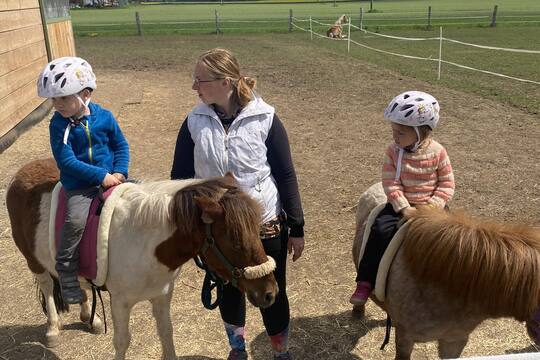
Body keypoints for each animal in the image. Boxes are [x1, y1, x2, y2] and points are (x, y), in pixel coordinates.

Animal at [6, 159, 278, 360]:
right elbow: (122, 341)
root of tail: (24, 170)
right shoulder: (120, 302)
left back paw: (89, 317)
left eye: (258, 231)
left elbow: (166, 333)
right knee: (47, 286)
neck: (143, 240)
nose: (270, 293)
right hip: (33, 260)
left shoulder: (161, 295)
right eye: (235, 241)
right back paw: (53, 328)